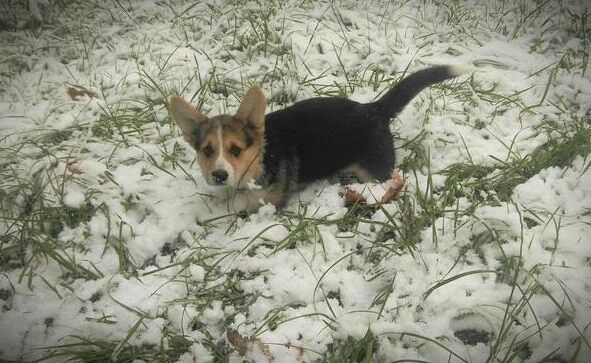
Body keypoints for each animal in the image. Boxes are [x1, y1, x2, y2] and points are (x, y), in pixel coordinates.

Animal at [170, 65, 468, 210]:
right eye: (207, 151)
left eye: (236, 149)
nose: (219, 176)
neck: (262, 156)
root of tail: (373, 109)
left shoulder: (271, 202)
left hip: (375, 173)